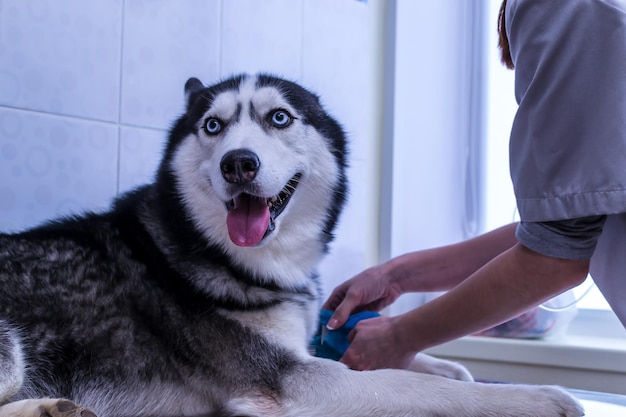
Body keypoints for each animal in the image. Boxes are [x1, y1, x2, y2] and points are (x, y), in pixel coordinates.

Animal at [2, 75, 584, 416]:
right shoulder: (285, 379)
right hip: (10, 348)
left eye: (278, 117)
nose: (239, 163)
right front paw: (530, 398)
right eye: (212, 125)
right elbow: (419, 389)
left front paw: (441, 363)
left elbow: (403, 367)